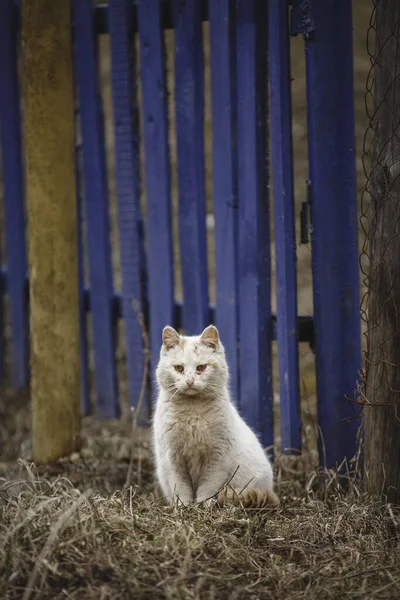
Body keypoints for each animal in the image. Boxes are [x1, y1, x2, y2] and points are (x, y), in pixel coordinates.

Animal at [152, 326, 280, 508]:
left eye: (201, 367)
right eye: (179, 368)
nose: (190, 381)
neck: (192, 412)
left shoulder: (217, 459)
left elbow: (207, 487)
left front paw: (204, 505)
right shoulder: (172, 459)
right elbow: (180, 487)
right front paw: (183, 506)